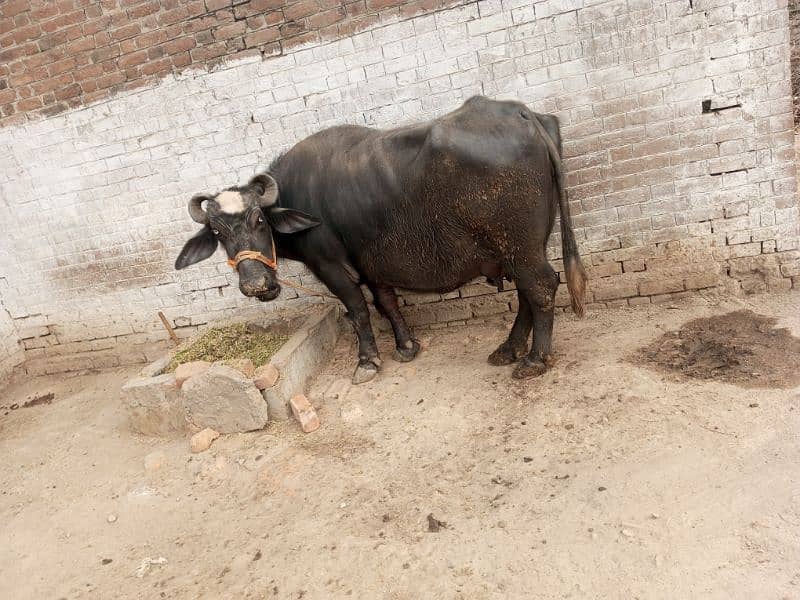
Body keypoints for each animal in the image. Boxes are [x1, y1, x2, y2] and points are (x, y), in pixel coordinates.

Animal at [177, 94, 588, 384]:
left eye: (259, 219)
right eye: (217, 232)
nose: (256, 284)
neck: (297, 195)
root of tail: (523, 114)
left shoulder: (331, 266)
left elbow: (358, 309)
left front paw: (367, 362)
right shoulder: (371, 263)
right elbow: (386, 302)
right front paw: (406, 347)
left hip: (519, 245)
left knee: (541, 287)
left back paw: (534, 359)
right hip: (522, 245)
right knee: (529, 293)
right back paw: (508, 349)